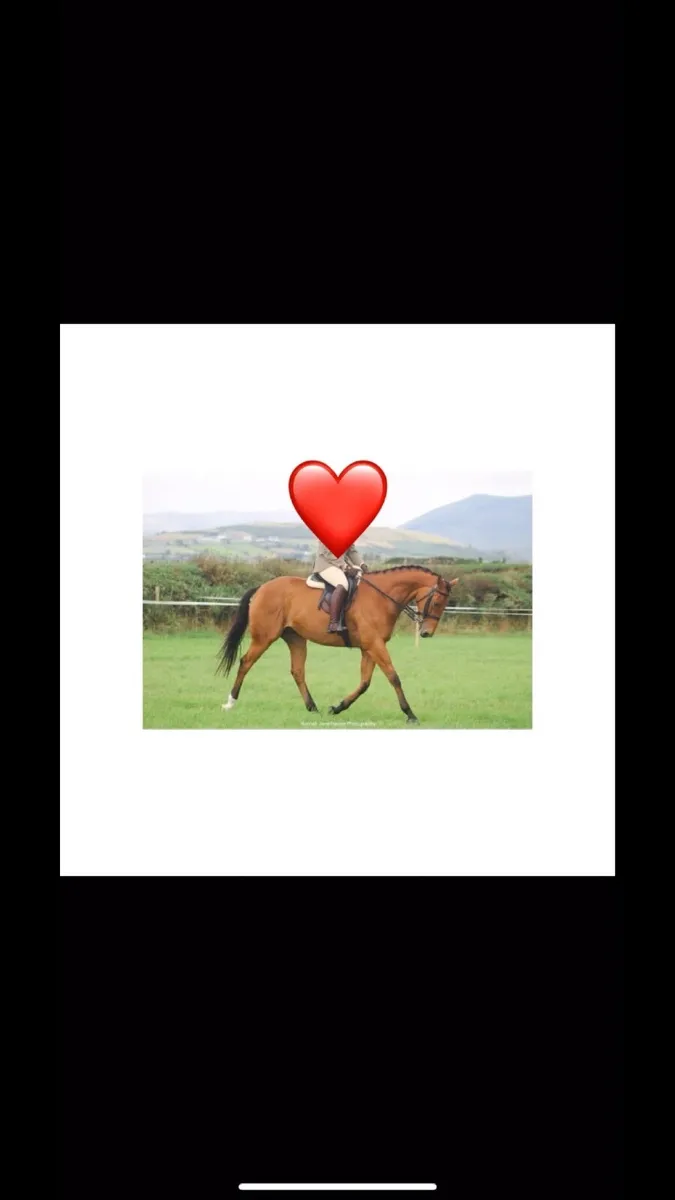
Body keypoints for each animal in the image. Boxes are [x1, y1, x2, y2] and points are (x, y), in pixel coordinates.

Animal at [217, 566, 458, 723]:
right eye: (437, 601)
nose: (426, 633)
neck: (381, 597)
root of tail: (262, 587)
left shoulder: (369, 647)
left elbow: (365, 683)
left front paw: (338, 707)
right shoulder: (375, 644)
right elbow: (393, 677)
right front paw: (410, 714)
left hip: (296, 638)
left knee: (297, 671)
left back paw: (313, 708)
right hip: (264, 637)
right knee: (245, 662)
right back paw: (230, 703)